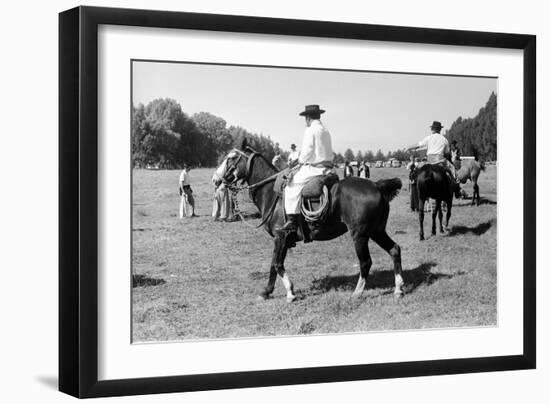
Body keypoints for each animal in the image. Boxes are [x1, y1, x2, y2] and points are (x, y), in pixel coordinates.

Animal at [219, 142, 406, 304]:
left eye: (231, 157)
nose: (217, 179)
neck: (271, 193)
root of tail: (377, 185)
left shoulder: (280, 236)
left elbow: (277, 264)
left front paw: (290, 292)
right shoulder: (282, 240)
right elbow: (273, 265)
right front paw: (266, 291)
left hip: (360, 235)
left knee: (366, 262)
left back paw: (357, 292)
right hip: (376, 231)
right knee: (394, 249)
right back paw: (398, 289)